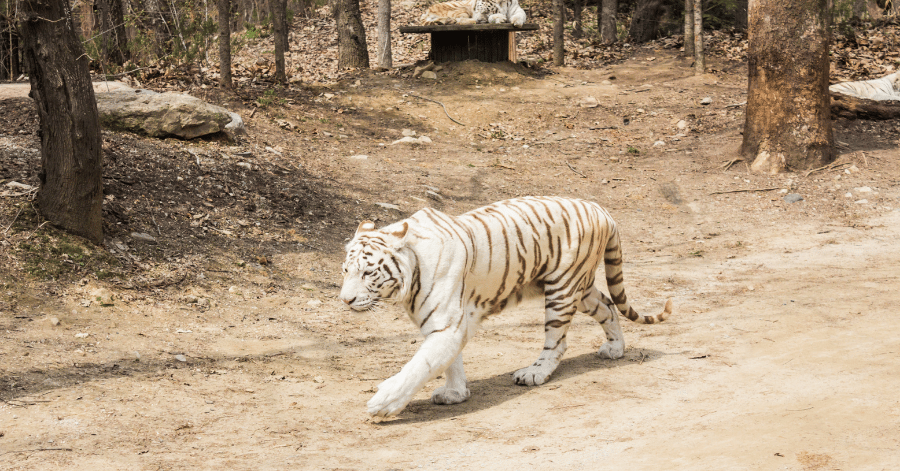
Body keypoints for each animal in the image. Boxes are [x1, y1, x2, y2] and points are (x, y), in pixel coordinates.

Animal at [340, 196, 673, 417]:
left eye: (367, 273)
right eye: (346, 271)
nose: (346, 300)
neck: (412, 272)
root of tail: (601, 210)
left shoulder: (446, 324)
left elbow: (421, 365)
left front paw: (383, 403)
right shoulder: (445, 324)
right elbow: (448, 362)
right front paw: (455, 393)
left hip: (563, 288)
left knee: (558, 342)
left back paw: (534, 373)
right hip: (581, 288)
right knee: (608, 305)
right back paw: (615, 348)